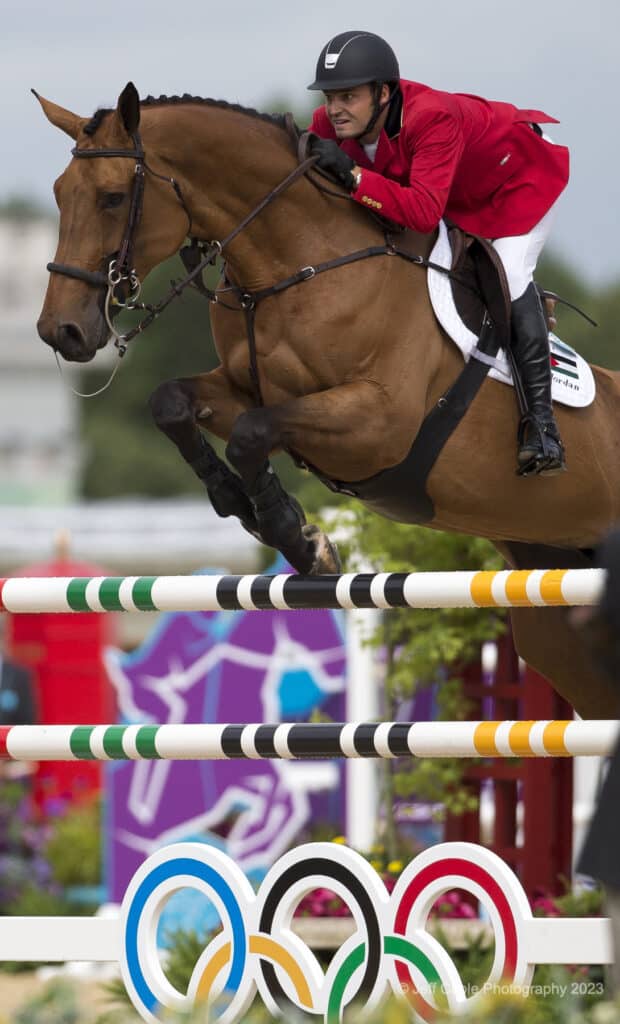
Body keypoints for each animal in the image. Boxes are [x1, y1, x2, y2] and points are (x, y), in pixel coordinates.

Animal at [35, 83, 618, 716]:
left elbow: (254, 433)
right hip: (557, 621)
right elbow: (173, 404)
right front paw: (248, 509)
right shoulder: (244, 389)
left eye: (113, 198)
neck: (296, 264)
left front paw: (298, 537)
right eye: (59, 194)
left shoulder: (378, 424)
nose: (60, 331)